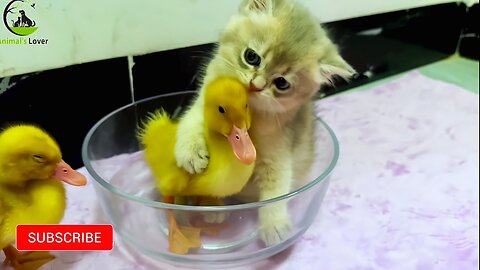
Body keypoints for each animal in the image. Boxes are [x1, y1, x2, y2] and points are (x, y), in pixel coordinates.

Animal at [173, 0, 352, 246]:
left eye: (282, 83)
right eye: (252, 57)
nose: (255, 85)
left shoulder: (277, 155)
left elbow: (276, 191)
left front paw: (274, 225)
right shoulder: (203, 104)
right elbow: (191, 123)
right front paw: (191, 153)